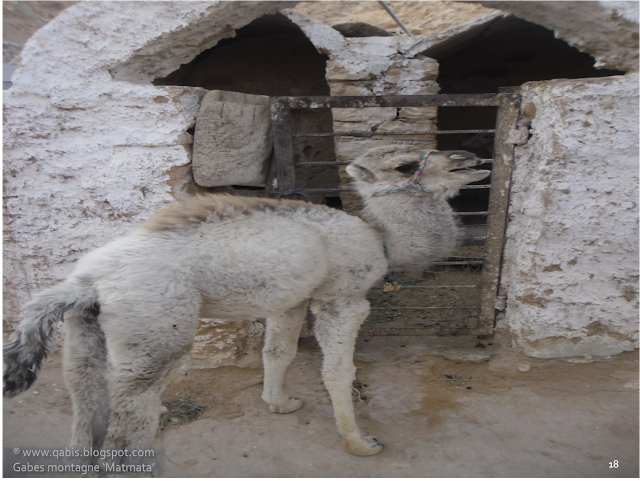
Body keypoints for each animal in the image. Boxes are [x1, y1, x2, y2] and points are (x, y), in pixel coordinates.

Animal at [2, 143, 490, 458]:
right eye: (405, 165)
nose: (469, 158)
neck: (382, 241)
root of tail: (87, 282)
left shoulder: (291, 298)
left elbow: (277, 351)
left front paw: (279, 403)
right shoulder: (341, 297)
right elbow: (338, 371)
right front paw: (358, 441)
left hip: (84, 331)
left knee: (84, 402)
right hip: (155, 325)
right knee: (130, 418)